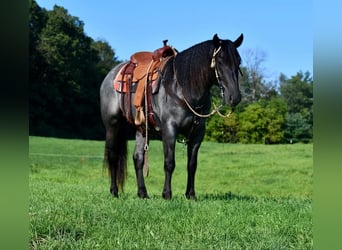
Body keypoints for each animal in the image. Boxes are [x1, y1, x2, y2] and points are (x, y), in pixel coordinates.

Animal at [99, 34, 243, 200]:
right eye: (219, 61)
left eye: (238, 61)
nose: (234, 97)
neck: (183, 87)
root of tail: (111, 74)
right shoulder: (169, 130)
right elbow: (169, 163)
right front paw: (167, 194)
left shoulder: (198, 133)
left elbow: (192, 165)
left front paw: (190, 194)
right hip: (113, 125)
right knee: (113, 156)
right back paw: (114, 191)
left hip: (141, 129)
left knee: (138, 158)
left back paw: (143, 193)